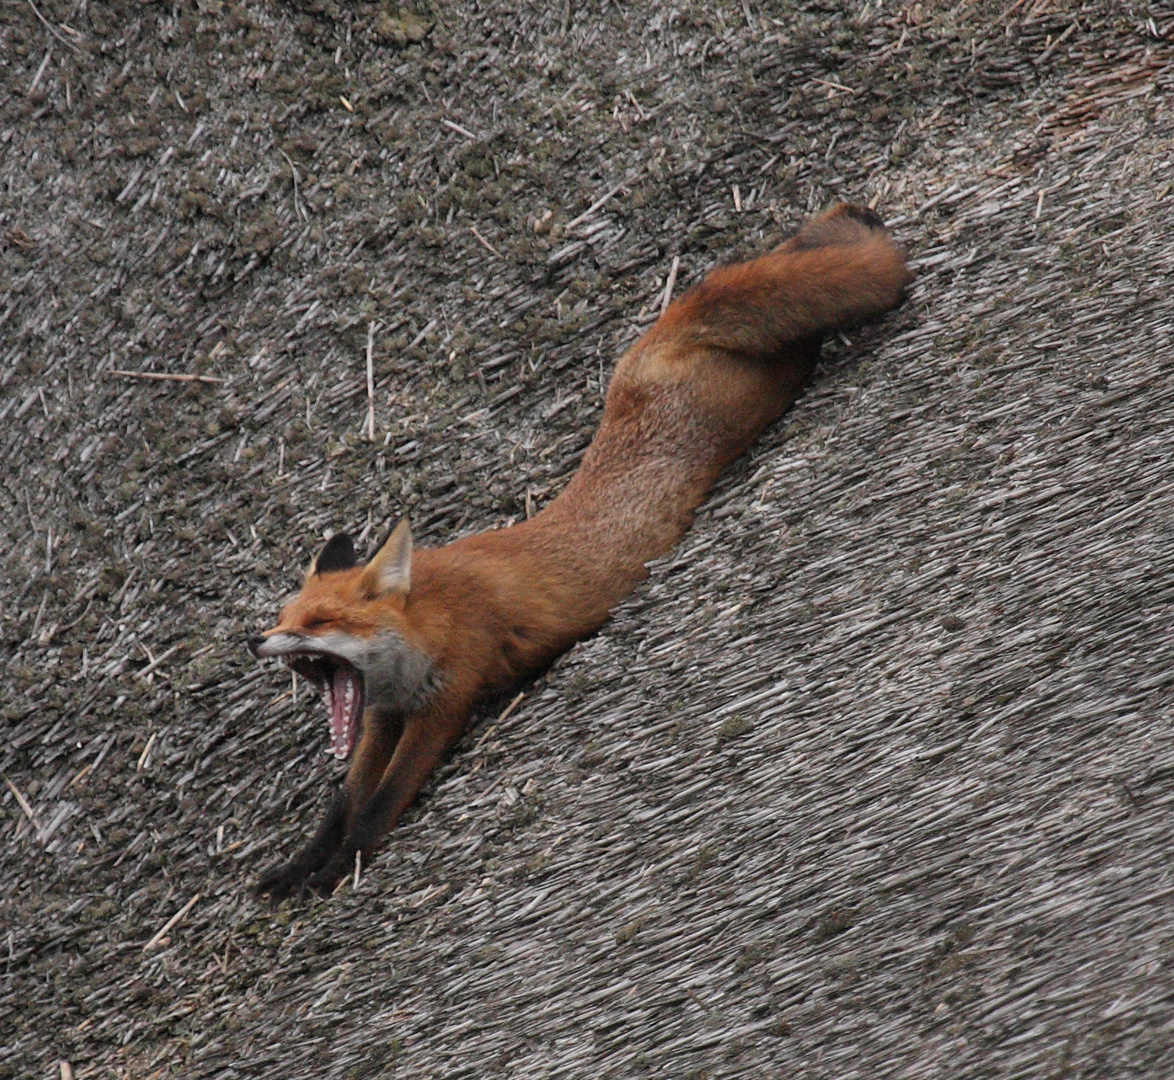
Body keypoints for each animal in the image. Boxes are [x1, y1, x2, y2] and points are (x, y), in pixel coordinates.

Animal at [245, 200, 906, 892]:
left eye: (321, 621)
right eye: (285, 618)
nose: (256, 640)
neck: (423, 630)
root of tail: (653, 345)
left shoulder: (446, 702)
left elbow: (379, 804)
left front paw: (339, 868)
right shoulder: (379, 717)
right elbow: (341, 801)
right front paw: (299, 867)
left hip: (761, 387)